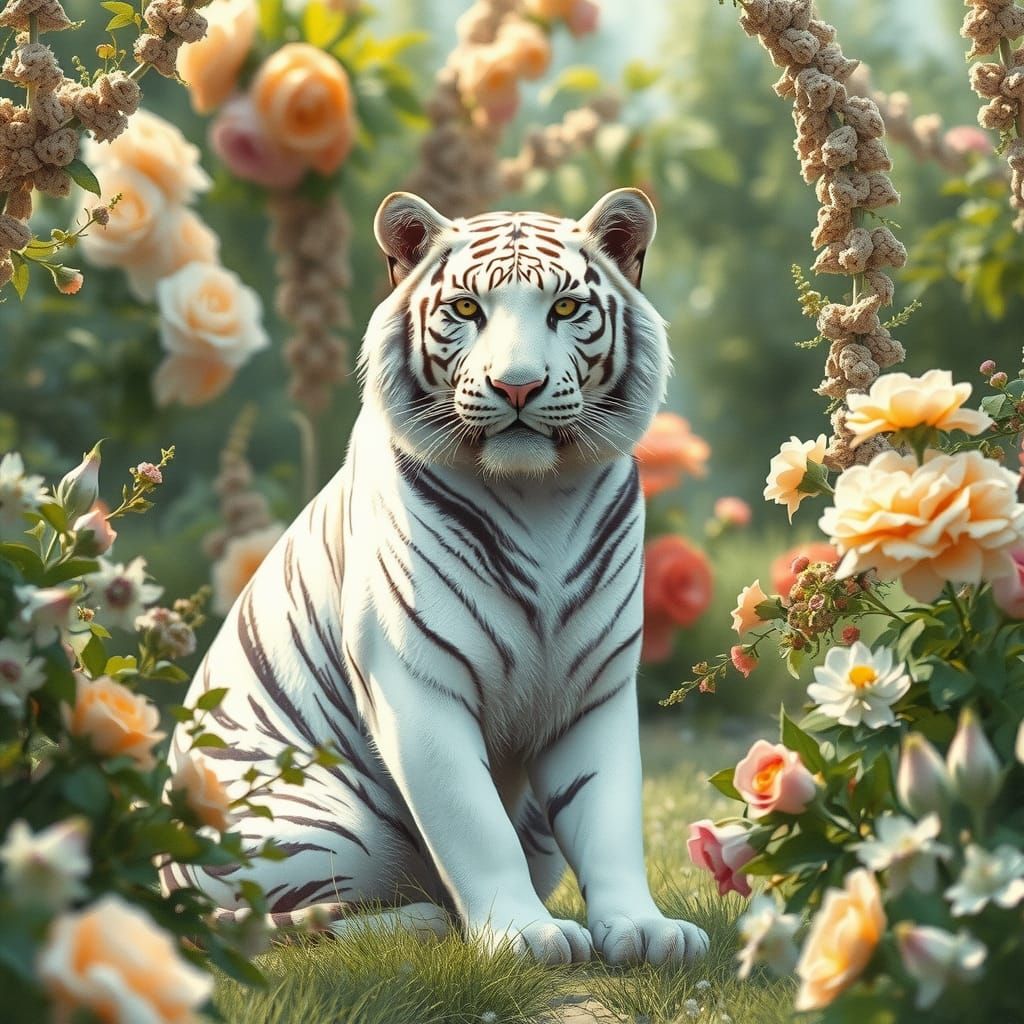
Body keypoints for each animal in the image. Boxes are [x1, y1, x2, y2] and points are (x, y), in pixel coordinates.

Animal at [162, 188, 710, 967]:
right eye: (467, 309)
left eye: (565, 308)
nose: (518, 385)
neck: (539, 497)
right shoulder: (416, 681)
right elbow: (472, 821)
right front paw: (524, 935)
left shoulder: (595, 687)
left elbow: (607, 814)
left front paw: (644, 929)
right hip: (324, 830)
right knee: (275, 923)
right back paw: (424, 923)